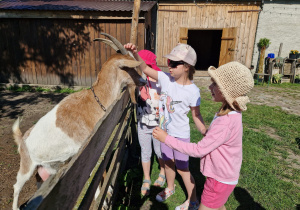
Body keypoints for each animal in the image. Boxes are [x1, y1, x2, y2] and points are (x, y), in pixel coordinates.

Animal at [12, 32, 146, 210]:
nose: (144, 80)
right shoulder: (91, 145)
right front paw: (103, 197)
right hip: (27, 164)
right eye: (128, 66)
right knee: (17, 186)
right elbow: (95, 171)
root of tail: (22, 139)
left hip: (46, 166)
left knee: (40, 181)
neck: (96, 100)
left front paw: (109, 190)